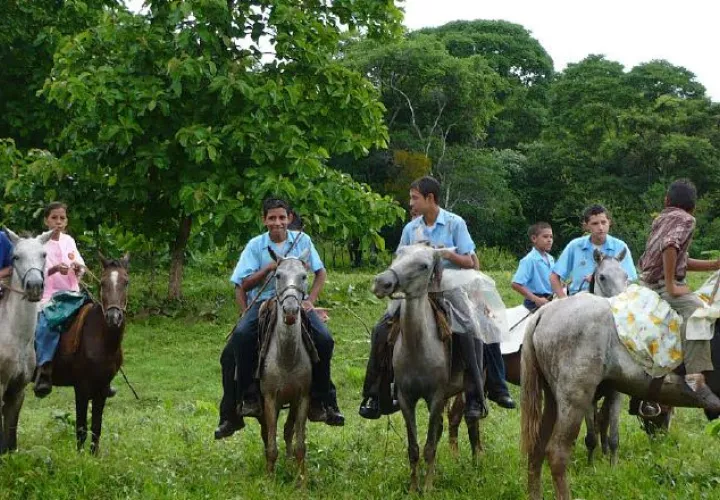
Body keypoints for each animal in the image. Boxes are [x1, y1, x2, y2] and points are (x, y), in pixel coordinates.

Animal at [51, 253, 130, 454]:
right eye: (102, 283)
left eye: (126, 282)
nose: (114, 318)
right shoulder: (81, 387)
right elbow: (81, 428)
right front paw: (79, 458)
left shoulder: (102, 388)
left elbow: (96, 427)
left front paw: (93, 457)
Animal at [372, 243, 478, 493]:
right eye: (397, 255)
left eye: (424, 265)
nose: (382, 282)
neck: (418, 347)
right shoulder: (405, 398)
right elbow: (414, 448)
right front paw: (414, 488)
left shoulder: (436, 397)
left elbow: (430, 445)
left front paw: (428, 487)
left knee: (472, 422)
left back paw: (477, 461)